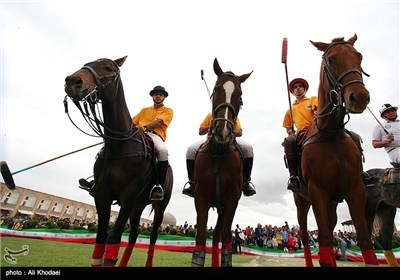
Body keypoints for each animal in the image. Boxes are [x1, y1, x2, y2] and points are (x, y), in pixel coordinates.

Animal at [63, 56, 172, 266]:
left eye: (107, 67)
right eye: (88, 62)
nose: (72, 81)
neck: (118, 144)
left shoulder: (128, 194)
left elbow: (113, 239)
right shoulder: (102, 195)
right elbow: (101, 239)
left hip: (159, 206)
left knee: (153, 237)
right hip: (138, 205)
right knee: (133, 236)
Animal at [191, 57, 253, 266]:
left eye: (240, 94)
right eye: (216, 89)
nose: (223, 131)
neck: (219, 150)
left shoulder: (232, 198)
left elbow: (226, 236)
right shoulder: (201, 195)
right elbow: (201, 236)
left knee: (219, 235)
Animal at [296, 35, 380, 266]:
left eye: (359, 56)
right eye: (331, 59)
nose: (359, 97)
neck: (330, 131)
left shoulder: (355, 189)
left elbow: (365, 239)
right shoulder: (316, 190)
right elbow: (323, 238)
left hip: (332, 202)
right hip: (302, 201)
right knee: (305, 235)